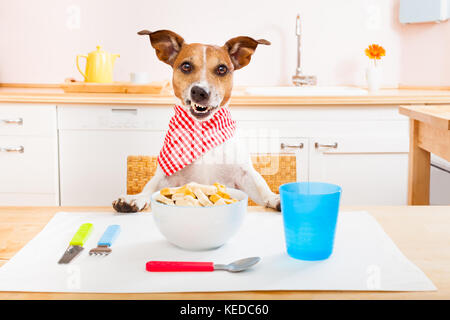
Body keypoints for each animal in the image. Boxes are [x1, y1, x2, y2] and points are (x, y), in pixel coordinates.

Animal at [111, 29, 282, 212]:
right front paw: (135, 198)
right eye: (186, 66)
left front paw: (275, 198)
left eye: (222, 69)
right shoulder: (165, 177)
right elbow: (150, 188)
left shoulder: (244, 174)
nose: (200, 91)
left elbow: (261, 187)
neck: (202, 129)